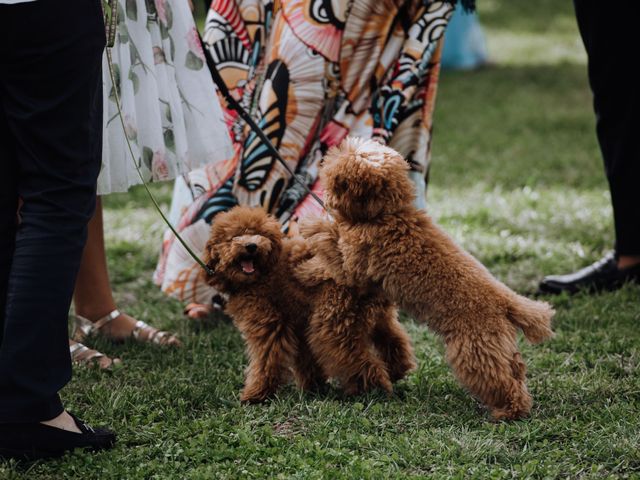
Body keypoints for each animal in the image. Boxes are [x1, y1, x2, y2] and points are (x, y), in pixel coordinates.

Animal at [204, 207, 324, 404]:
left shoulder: (269, 324)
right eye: (235, 236)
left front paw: (256, 394)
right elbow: (307, 358)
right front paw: (313, 387)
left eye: (259, 233)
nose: (251, 246)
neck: (262, 275)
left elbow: (266, 359)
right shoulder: (299, 325)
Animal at [300, 138, 556, 420]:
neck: (388, 214)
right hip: (501, 347)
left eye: (339, 184)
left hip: (473, 350)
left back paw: (508, 412)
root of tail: (506, 301)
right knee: (516, 371)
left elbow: (329, 244)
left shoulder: (353, 263)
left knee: (498, 381)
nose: (327, 199)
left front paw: (312, 227)